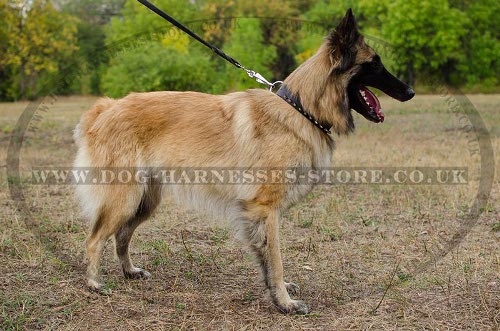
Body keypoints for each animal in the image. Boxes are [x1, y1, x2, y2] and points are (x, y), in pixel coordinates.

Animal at [73, 9, 414, 316]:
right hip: (125, 197)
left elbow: (267, 258)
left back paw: (129, 272)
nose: (410, 91)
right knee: (94, 238)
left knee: (121, 235)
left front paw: (278, 292)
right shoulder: (265, 209)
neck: (301, 109)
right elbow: (275, 259)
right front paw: (285, 303)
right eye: (374, 63)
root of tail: (105, 108)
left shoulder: (260, 214)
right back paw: (94, 283)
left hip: (143, 201)